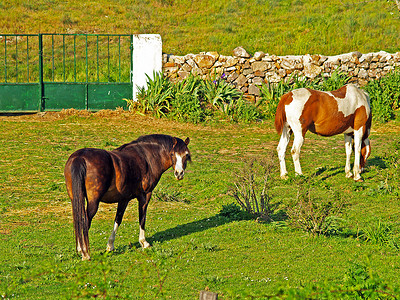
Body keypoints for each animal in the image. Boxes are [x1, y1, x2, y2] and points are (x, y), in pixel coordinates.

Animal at [63, 134, 191, 260]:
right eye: (172, 154)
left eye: (186, 155)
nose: (179, 173)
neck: (147, 157)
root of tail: (80, 158)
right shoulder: (145, 195)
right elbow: (142, 218)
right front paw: (144, 242)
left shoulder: (124, 199)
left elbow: (118, 219)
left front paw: (110, 245)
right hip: (93, 202)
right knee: (85, 221)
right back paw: (85, 253)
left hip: (75, 198)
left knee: (78, 220)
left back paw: (80, 249)